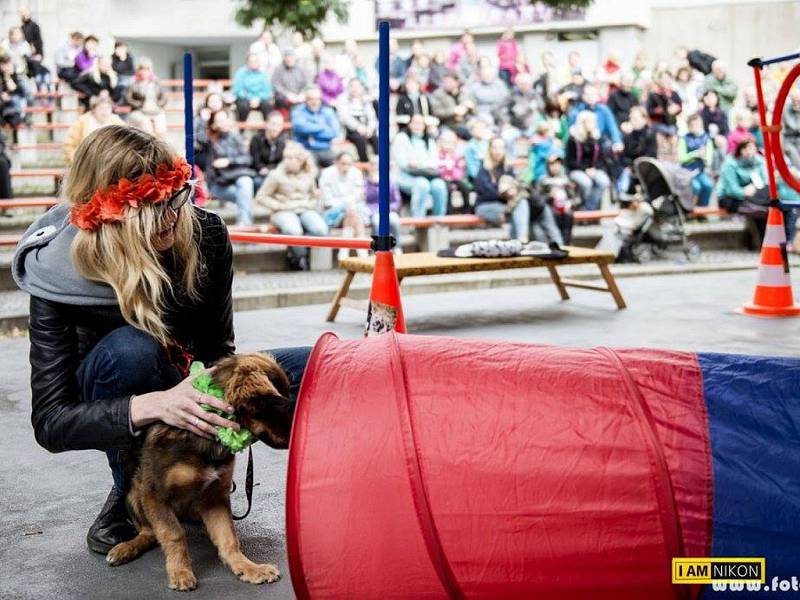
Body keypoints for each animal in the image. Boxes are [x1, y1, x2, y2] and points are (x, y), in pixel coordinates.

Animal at [104, 352, 294, 592]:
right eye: (277, 405)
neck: (207, 438)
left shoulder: (215, 496)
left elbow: (228, 537)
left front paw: (248, 567)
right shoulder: (154, 494)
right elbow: (173, 533)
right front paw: (180, 571)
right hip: (134, 492)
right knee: (149, 532)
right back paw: (125, 548)